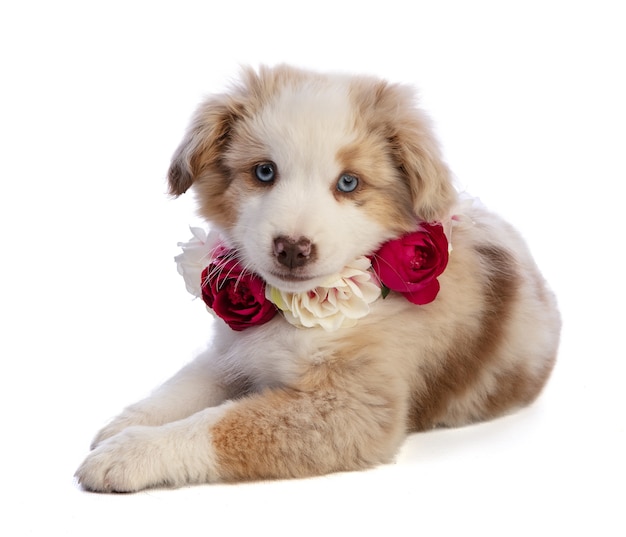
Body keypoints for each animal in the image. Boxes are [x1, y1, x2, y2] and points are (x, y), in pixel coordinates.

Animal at [75, 62, 560, 490]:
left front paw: (130, 453)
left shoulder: (351, 410)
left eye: (348, 183)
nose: (292, 248)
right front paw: (126, 423)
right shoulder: (233, 351)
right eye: (264, 171)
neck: (296, 310)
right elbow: (184, 385)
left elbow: (220, 424)